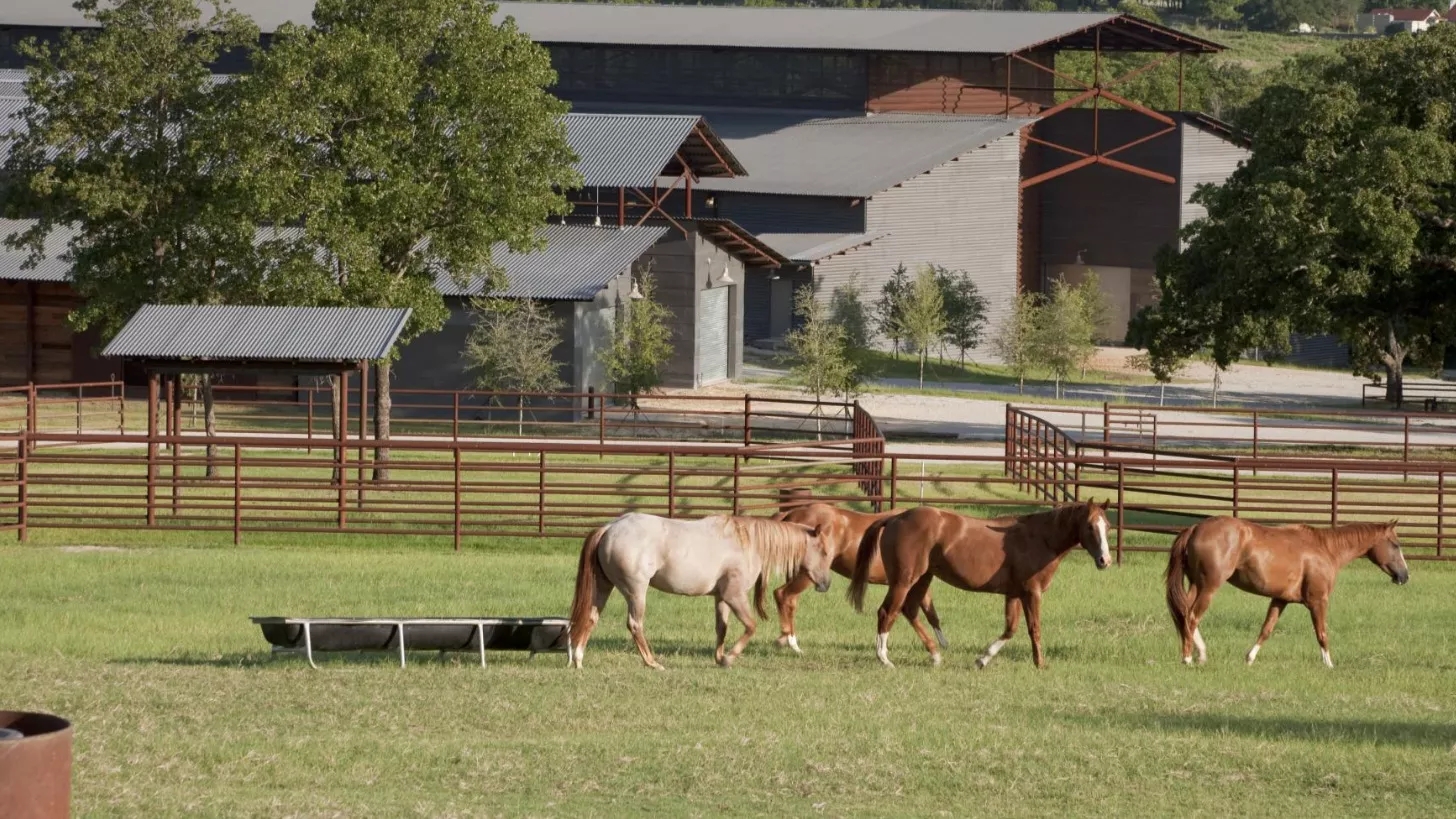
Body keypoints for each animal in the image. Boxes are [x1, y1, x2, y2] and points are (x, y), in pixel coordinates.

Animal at [566, 512, 835, 670]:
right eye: (823, 551)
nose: (826, 584)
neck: (749, 543)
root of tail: (609, 528)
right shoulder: (734, 596)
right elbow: (750, 626)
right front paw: (730, 657)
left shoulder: (721, 598)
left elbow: (722, 629)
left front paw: (720, 658)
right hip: (636, 591)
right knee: (634, 624)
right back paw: (652, 663)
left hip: (603, 587)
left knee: (591, 618)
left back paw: (578, 659)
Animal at [763, 502, 947, 655]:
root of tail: (790, 514)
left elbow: (931, 613)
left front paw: (943, 644)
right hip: (806, 575)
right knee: (783, 595)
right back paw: (791, 643)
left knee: (790, 601)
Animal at [848, 501, 1113, 669]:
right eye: (1090, 526)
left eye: (1107, 527)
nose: (1105, 560)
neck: (1039, 538)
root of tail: (894, 517)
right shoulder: (1032, 592)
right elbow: (1033, 628)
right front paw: (1040, 663)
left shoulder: (1014, 594)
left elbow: (1010, 629)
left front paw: (982, 659)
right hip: (904, 580)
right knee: (887, 612)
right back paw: (884, 659)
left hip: (922, 578)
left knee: (909, 610)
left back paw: (935, 655)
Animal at [1164, 517, 1408, 668]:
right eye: (1396, 545)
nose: (1404, 576)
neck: (1326, 549)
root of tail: (1195, 528)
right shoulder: (1318, 601)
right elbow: (1322, 633)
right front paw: (1329, 664)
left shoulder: (1280, 599)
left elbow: (1266, 629)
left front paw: (1249, 658)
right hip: (1209, 586)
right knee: (1192, 617)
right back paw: (1188, 658)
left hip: (1196, 584)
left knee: (1184, 615)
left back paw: (1200, 654)